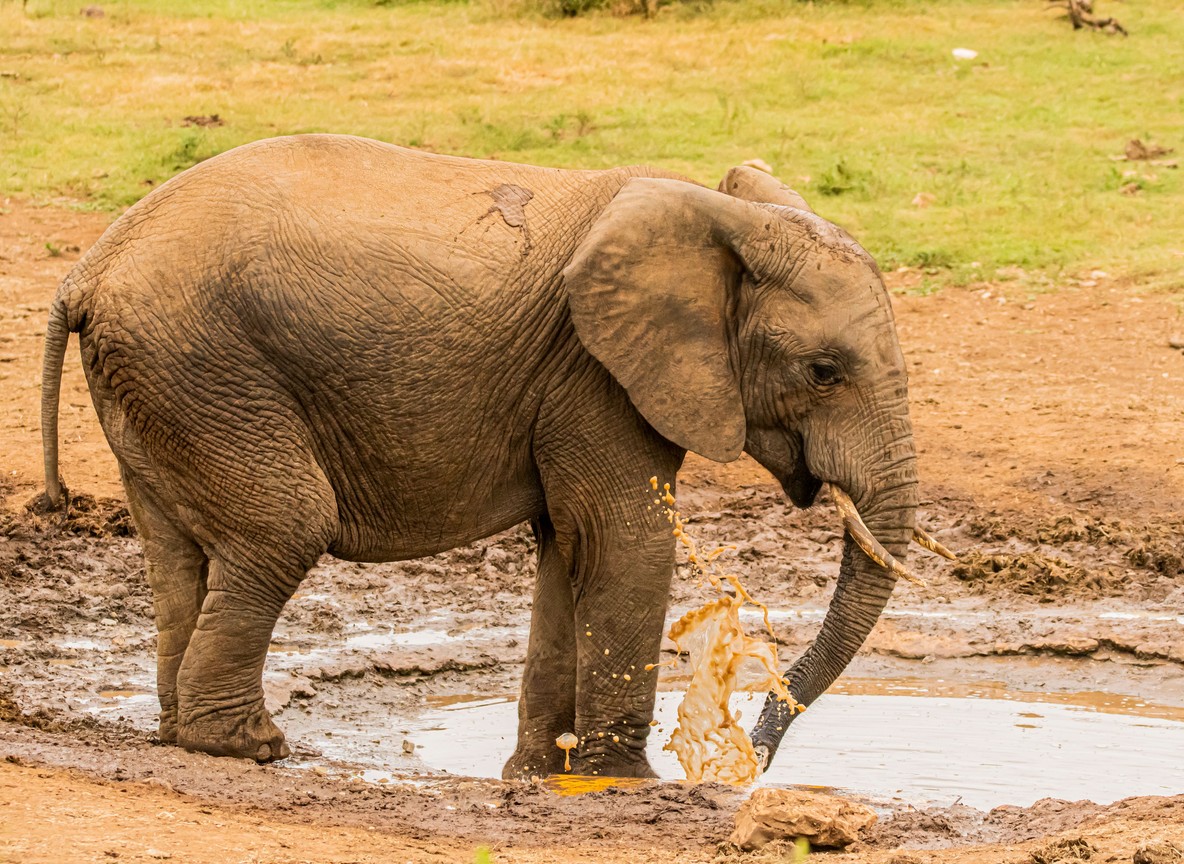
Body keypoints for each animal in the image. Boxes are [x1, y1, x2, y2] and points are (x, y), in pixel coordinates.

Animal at [38, 134, 947, 779]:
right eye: (823, 372)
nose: (750, 763)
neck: (720, 222)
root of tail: (88, 270)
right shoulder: (595, 368)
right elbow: (622, 539)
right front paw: (624, 781)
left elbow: (566, 548)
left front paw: (545, 771)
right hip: (206, 369)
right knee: (284, 528)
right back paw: (247, 746)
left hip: (159, 383)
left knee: (176, 555)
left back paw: (177, 732)